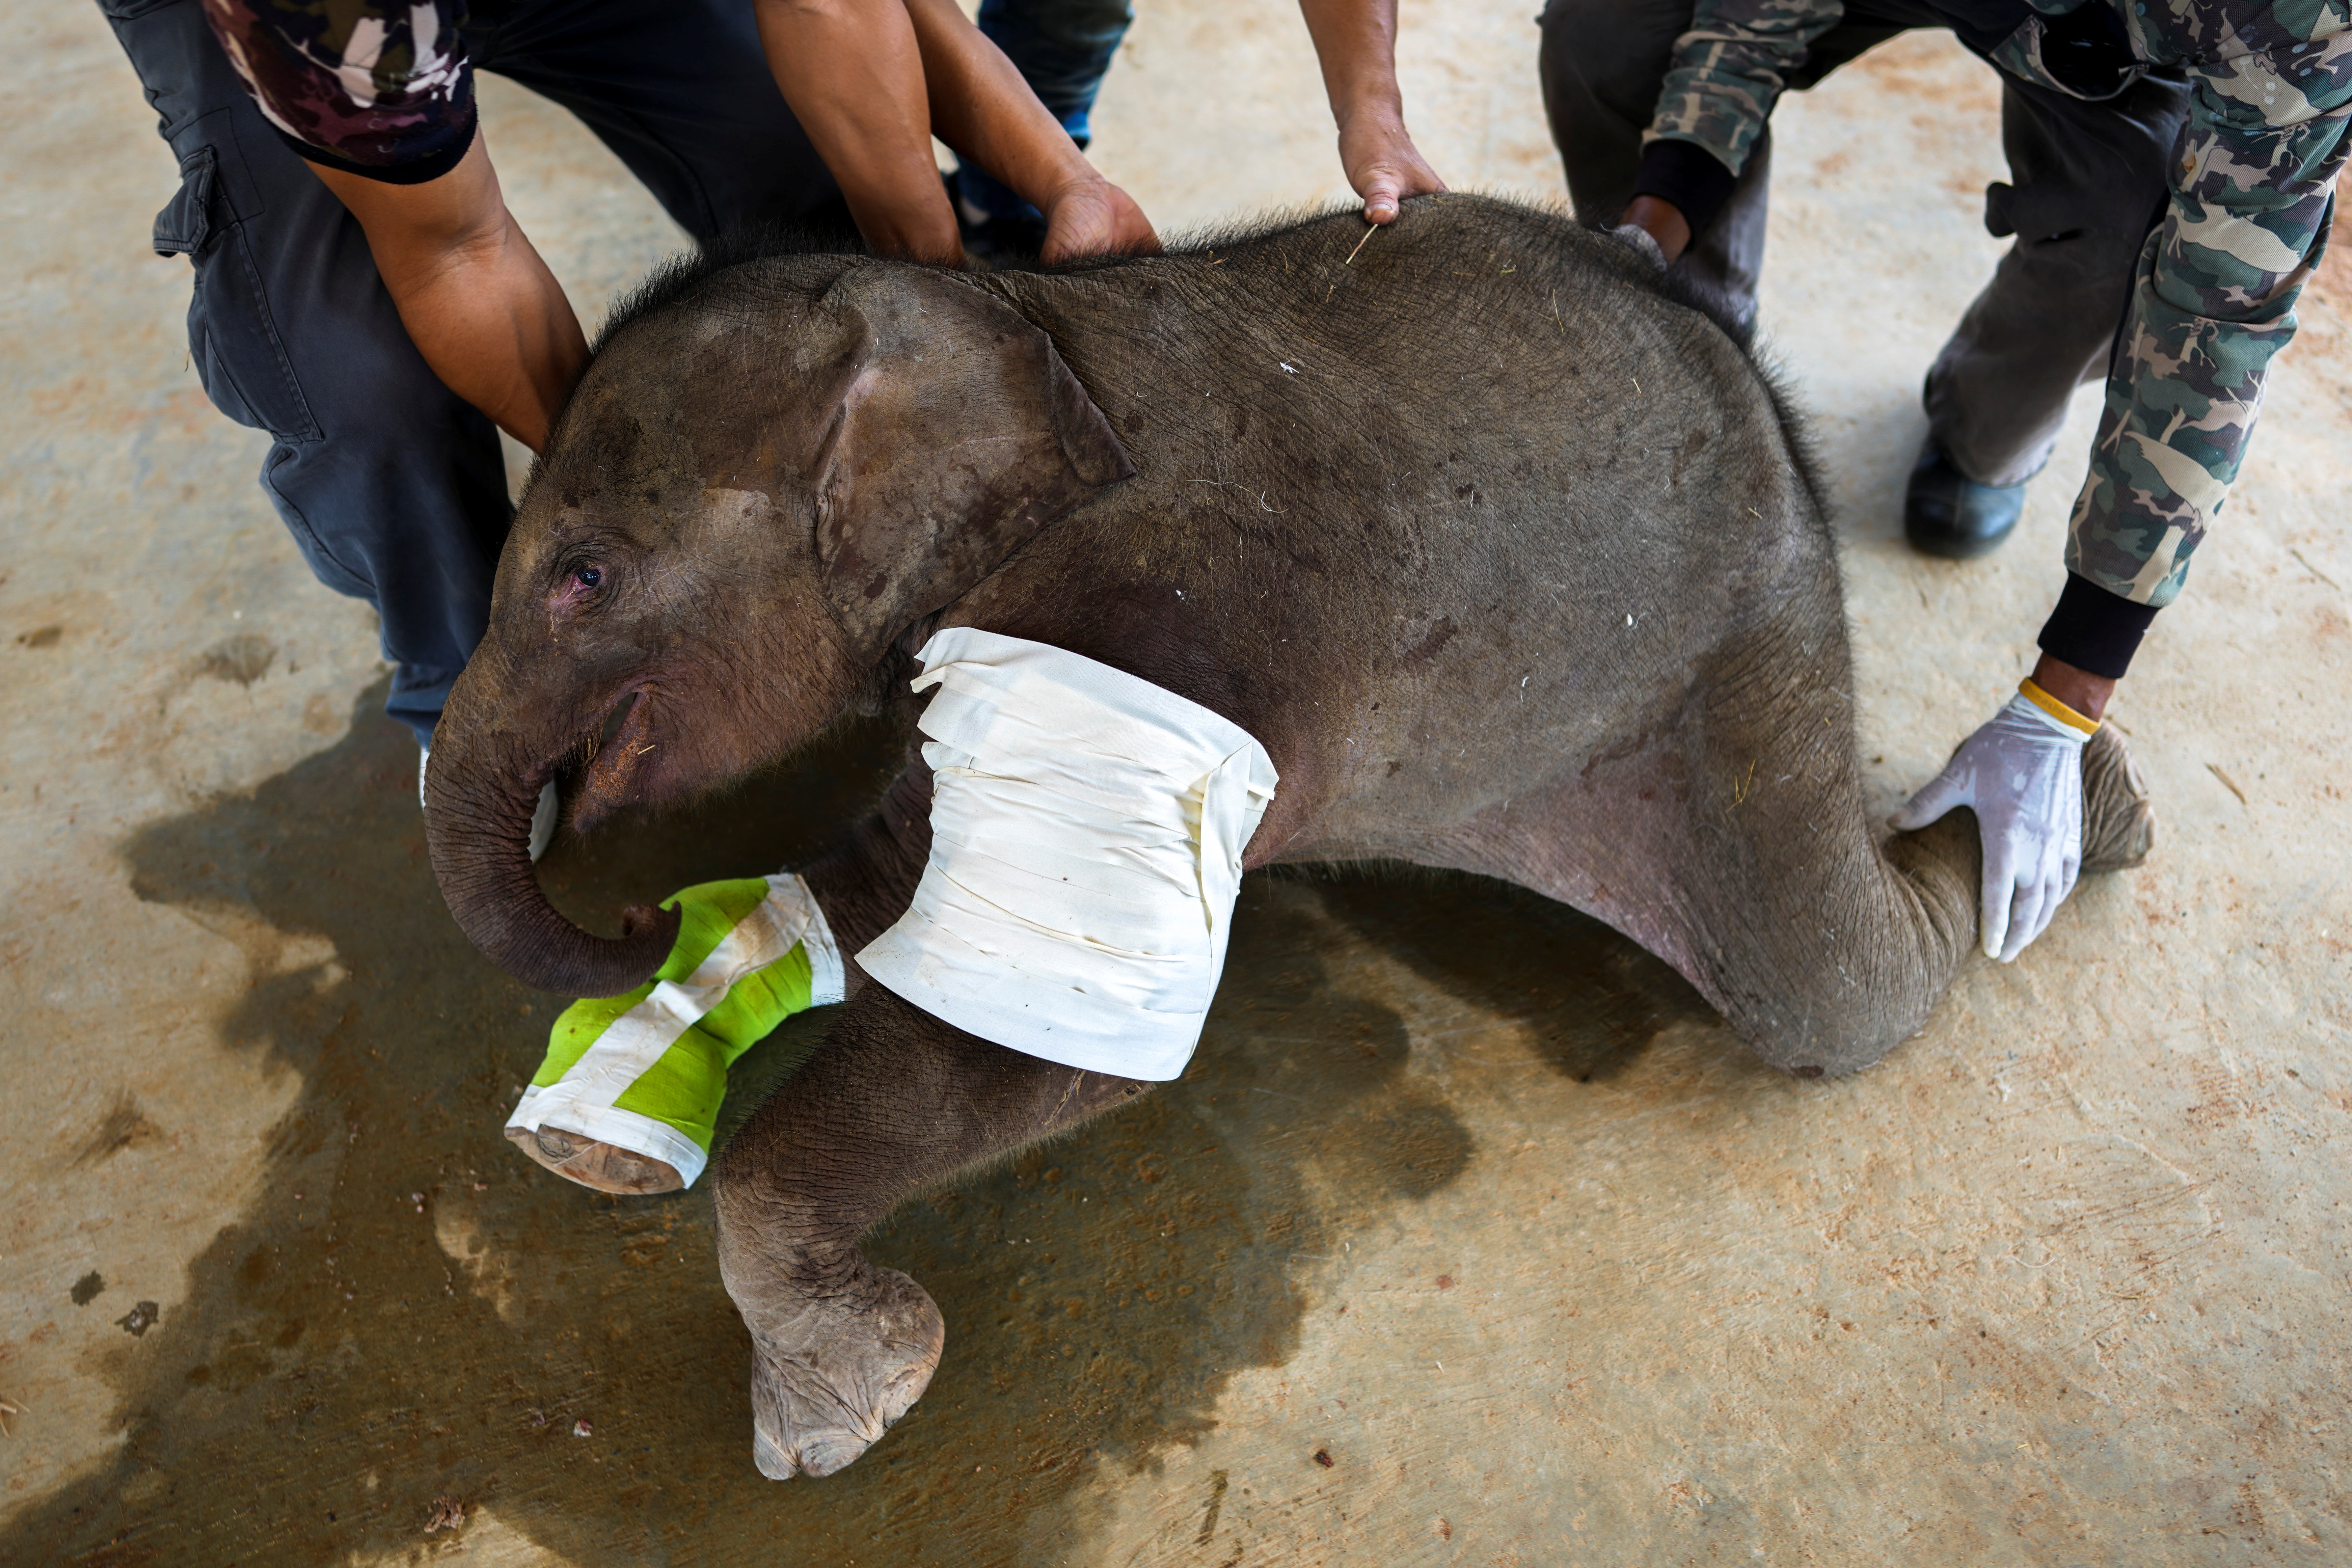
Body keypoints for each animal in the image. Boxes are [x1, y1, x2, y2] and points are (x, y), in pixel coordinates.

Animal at [423, 196, 2154, 1486]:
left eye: (582, 574)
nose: (624, 900)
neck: (1010, 317)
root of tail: (1741, 362)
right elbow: (898, 889)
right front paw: (619, 1094)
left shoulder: (1169, 627)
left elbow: (1049, 1042)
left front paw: (834, 1415)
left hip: (1741, 645)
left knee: (1827, 994)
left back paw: (2072, 809)